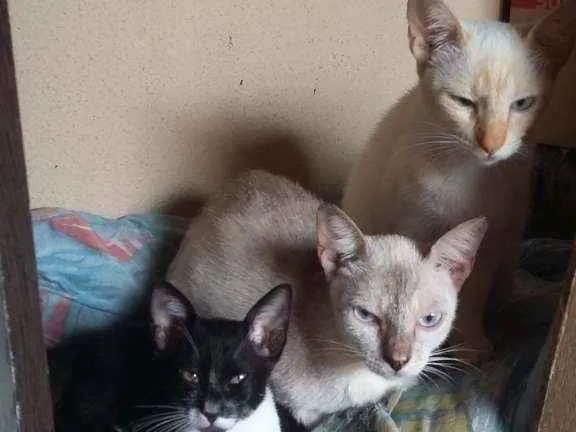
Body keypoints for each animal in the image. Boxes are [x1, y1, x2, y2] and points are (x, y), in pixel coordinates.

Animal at [167, 170, 487, 426]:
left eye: (430, 320)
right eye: (365, 315)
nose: (398, 362)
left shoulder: (400, 387)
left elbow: (392, 397)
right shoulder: (303, 409)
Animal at [342, 0, 576, 355]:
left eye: (522, 104)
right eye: (463, 102)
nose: (491, 145)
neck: (468, 175)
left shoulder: (487, 242)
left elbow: (471, 295)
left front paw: (473, 344)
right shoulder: (413, 230)